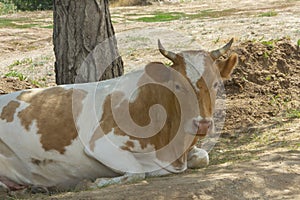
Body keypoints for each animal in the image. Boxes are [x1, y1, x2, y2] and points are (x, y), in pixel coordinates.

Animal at [0, 38, 239, 191]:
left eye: (216, 84)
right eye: (178, 86)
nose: (203, 124)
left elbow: (202, 157)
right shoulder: (99, 144)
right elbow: (137, 172)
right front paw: (93, 182)